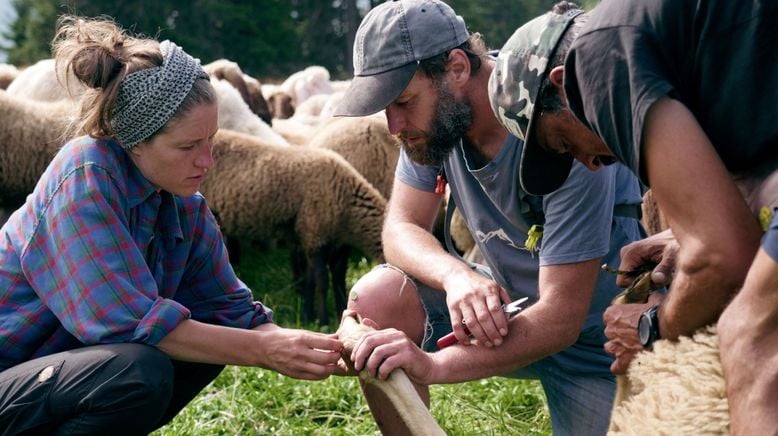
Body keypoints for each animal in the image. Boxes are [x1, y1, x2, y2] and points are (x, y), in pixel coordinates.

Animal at [202, 127, 386, 326]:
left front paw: (325, 314)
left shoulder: (332, 243)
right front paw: (322, 319)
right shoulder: (315, 235)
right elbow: (321, 281)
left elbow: (332, 279)